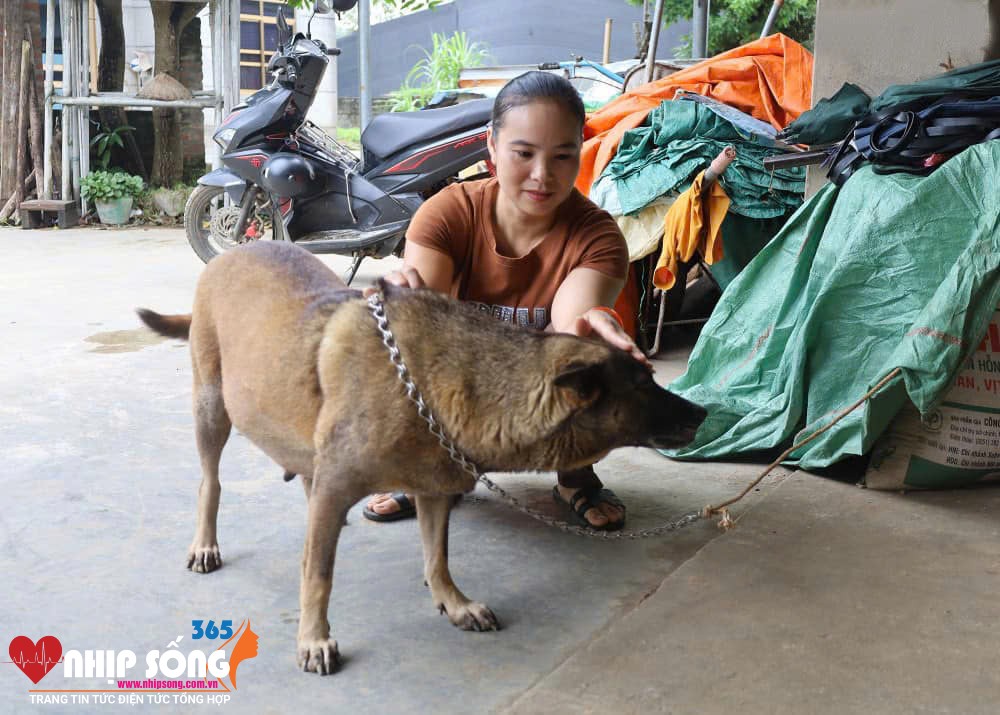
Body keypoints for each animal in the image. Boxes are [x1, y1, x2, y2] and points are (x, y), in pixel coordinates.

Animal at [137, 243, 708, 676]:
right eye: (643, 384)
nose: (703, 412)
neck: (437, 384)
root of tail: (231, 252)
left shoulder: (433, 488)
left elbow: (438, 557)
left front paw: (453, 602)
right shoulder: (343, 484)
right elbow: (318, 574)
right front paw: (313, 637)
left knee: (306, 478)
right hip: (212, 408)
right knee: (211, 482)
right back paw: (206, 542)